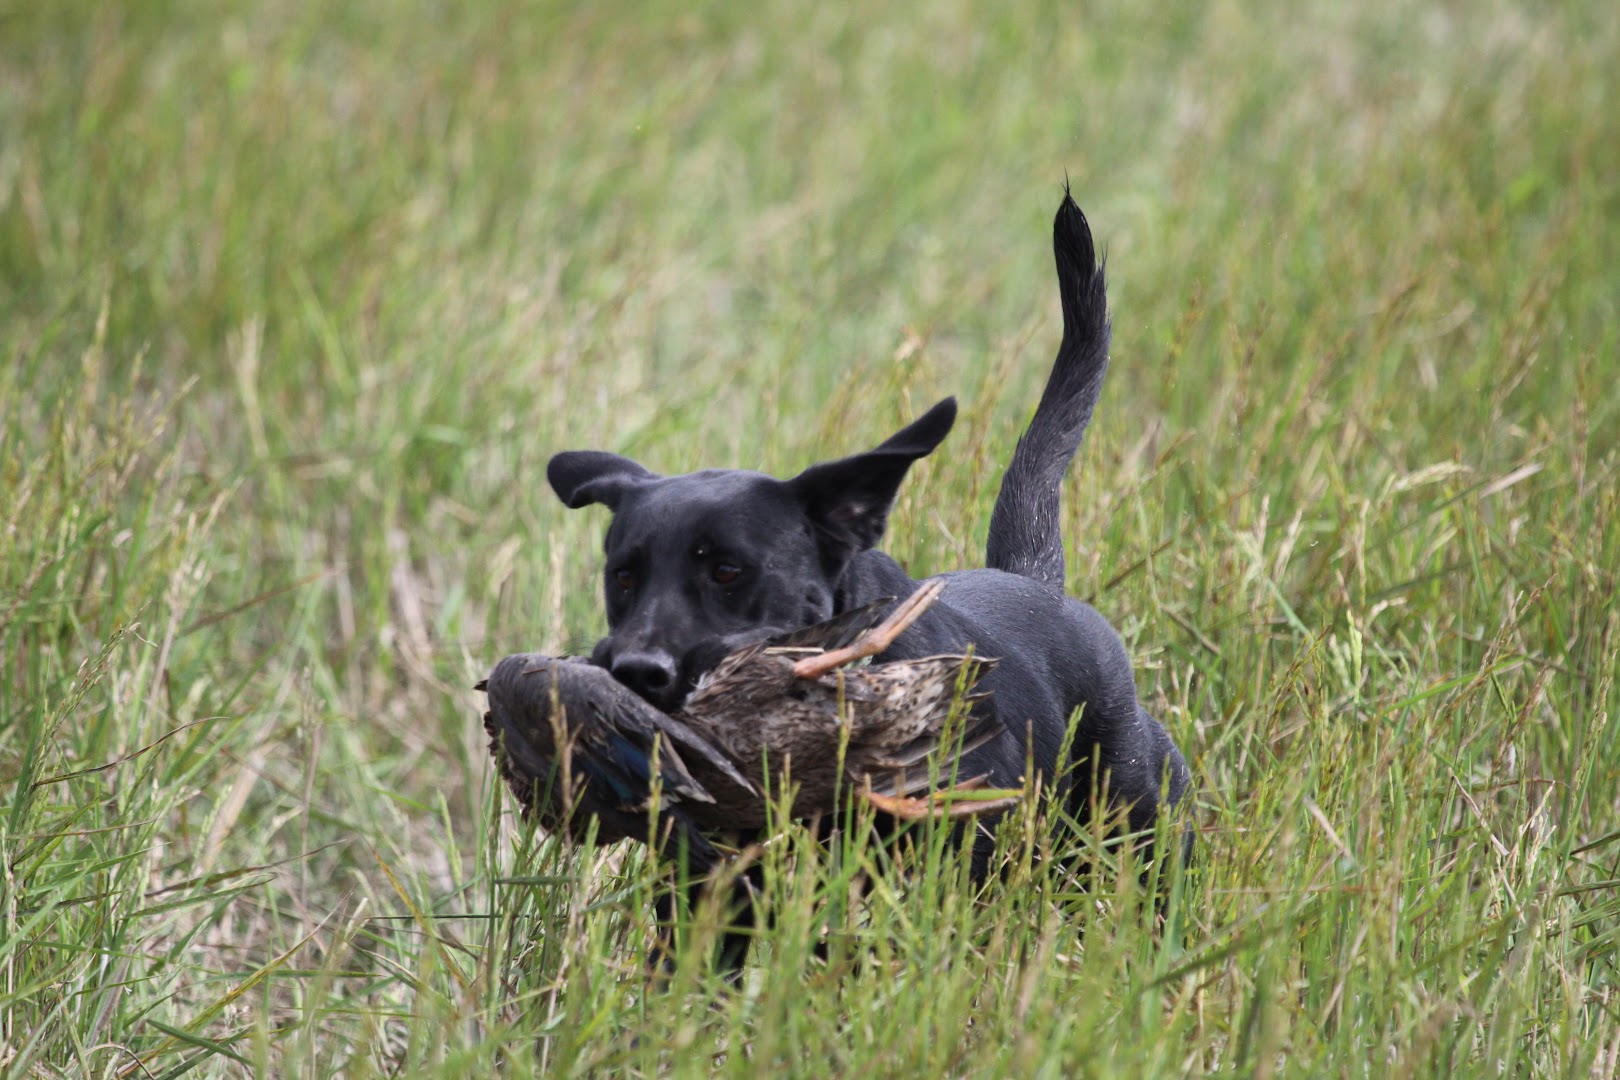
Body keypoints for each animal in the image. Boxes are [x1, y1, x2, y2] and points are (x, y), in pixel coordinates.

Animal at [544, 187, 1192, 952]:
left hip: (1138, 828)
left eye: (728, 570)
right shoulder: (708, 893)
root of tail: (1041, 587)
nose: (636, 673)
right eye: (623, 575)